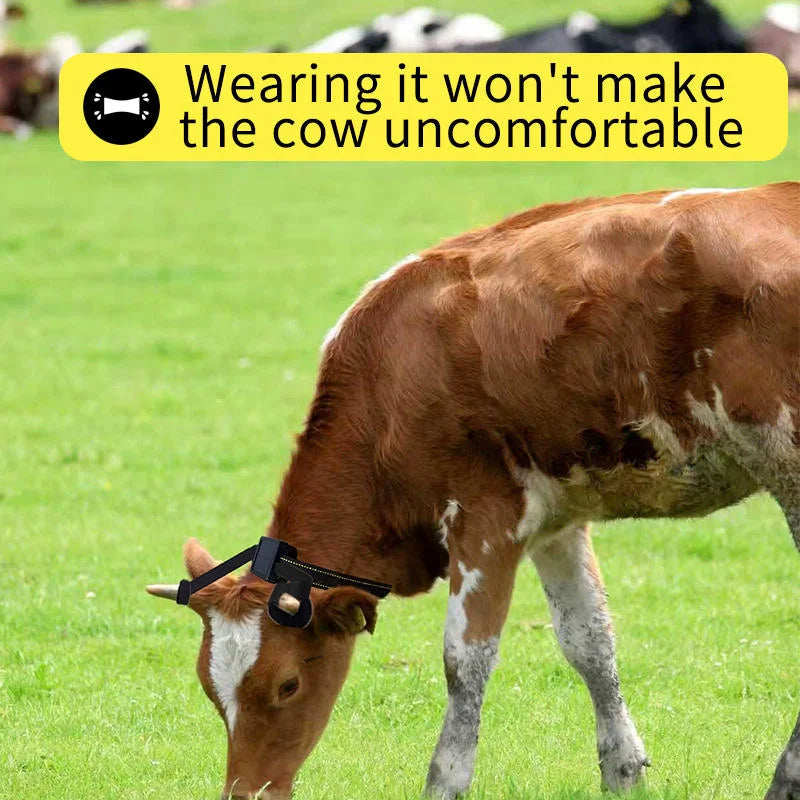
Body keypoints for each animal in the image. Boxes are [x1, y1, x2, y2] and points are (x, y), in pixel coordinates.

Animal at [148, 182, 800, 800]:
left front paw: (445, 780)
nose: (247, 791)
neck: (391, 378)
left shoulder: (486, 520)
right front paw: (623, 772)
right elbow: (590, 642)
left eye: (287, 684)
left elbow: (466, 660)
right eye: (211, 688)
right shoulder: (558, 521)